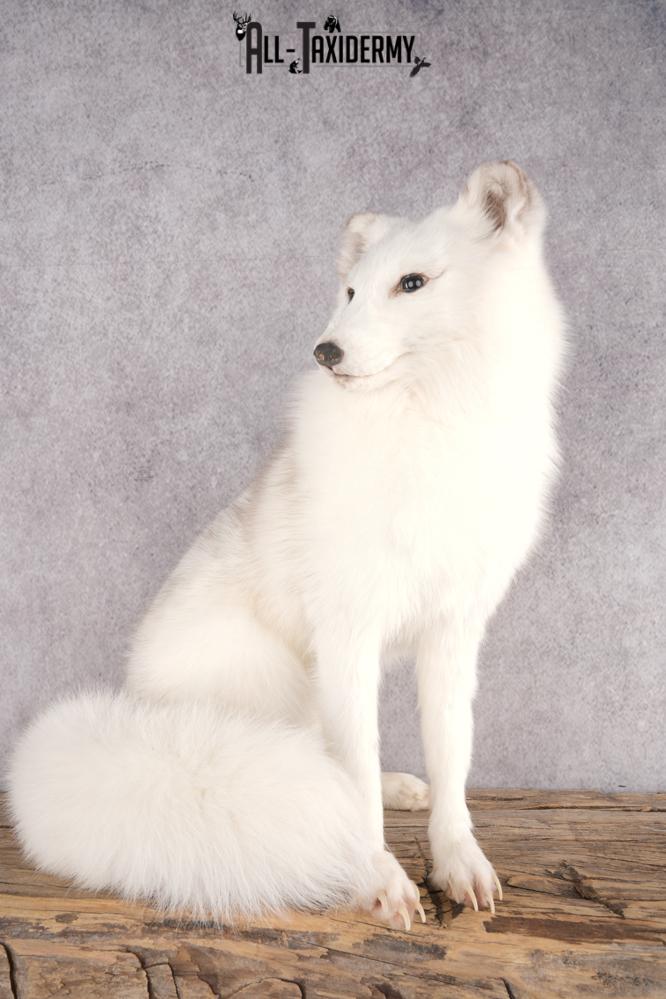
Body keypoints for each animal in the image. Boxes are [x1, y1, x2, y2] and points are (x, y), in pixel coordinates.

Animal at [8, 161, 565, 931]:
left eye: (412, 283)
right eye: (350, 291)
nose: (325, 351)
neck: (435, 426)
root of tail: (136, 704)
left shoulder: (455, 628)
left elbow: (454, 754)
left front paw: (458, 860)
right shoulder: (348, 629)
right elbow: (352, 778)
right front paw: (376, 873)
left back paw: (400, 785)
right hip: (286, 678)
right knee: (329, 762)